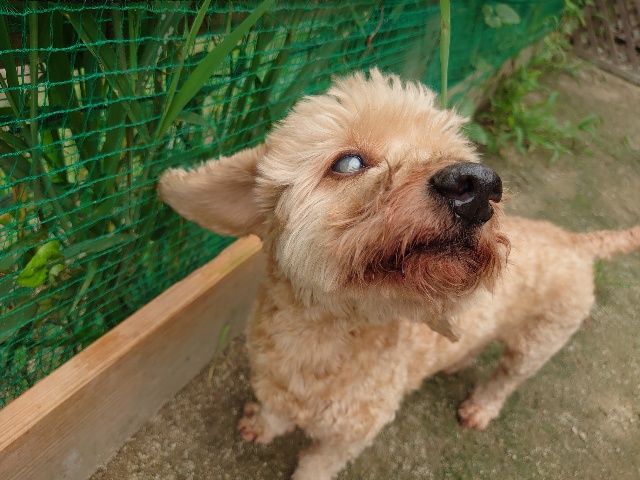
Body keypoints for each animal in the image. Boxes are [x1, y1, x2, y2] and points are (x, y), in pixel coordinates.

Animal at [158, 69, 640, 480]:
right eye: (348, 163)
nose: (480, 185)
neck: (321, 336)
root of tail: (576, 241)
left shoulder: (351, 433)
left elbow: (315, 465)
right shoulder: (274, 379)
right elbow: (275, 410)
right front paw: (263, 426)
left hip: (538, 342)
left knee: (505, 379)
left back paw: (480, 408)